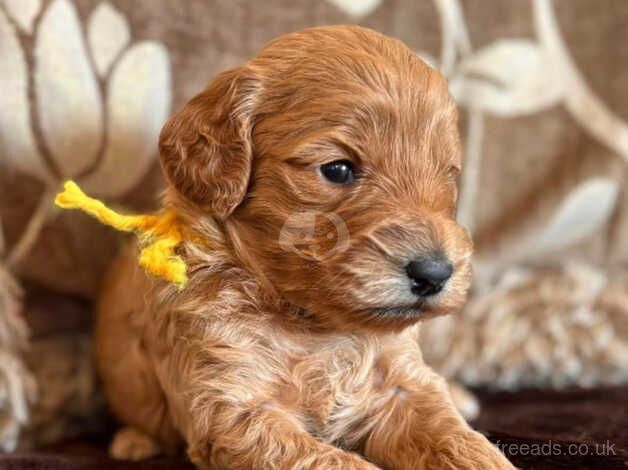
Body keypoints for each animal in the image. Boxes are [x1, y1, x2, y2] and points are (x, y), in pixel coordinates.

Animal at [94, 26, 516, 470]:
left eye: (448, 175)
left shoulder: (402, 387)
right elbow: (333, 461)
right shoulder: (233, 408)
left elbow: (455, 437)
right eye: (337, 169)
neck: (315, 325)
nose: (434, 273)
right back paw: (134, 441)